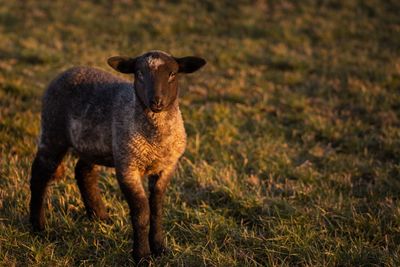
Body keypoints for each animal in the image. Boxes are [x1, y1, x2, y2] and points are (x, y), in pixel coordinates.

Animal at [29, 50, 206, 264]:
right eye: (139, 73)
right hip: (53, 131)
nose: (156, 102)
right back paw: (38, 227)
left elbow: (157, 209)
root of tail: (68, 71)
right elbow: (141, 212)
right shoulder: (127, 166)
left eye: (172, 74)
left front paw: (160, 248)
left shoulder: (166, 167)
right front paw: (142, 256)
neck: (155, 138)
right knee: (40, 174)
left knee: (83, 171)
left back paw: (100, 216)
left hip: (93, 143)